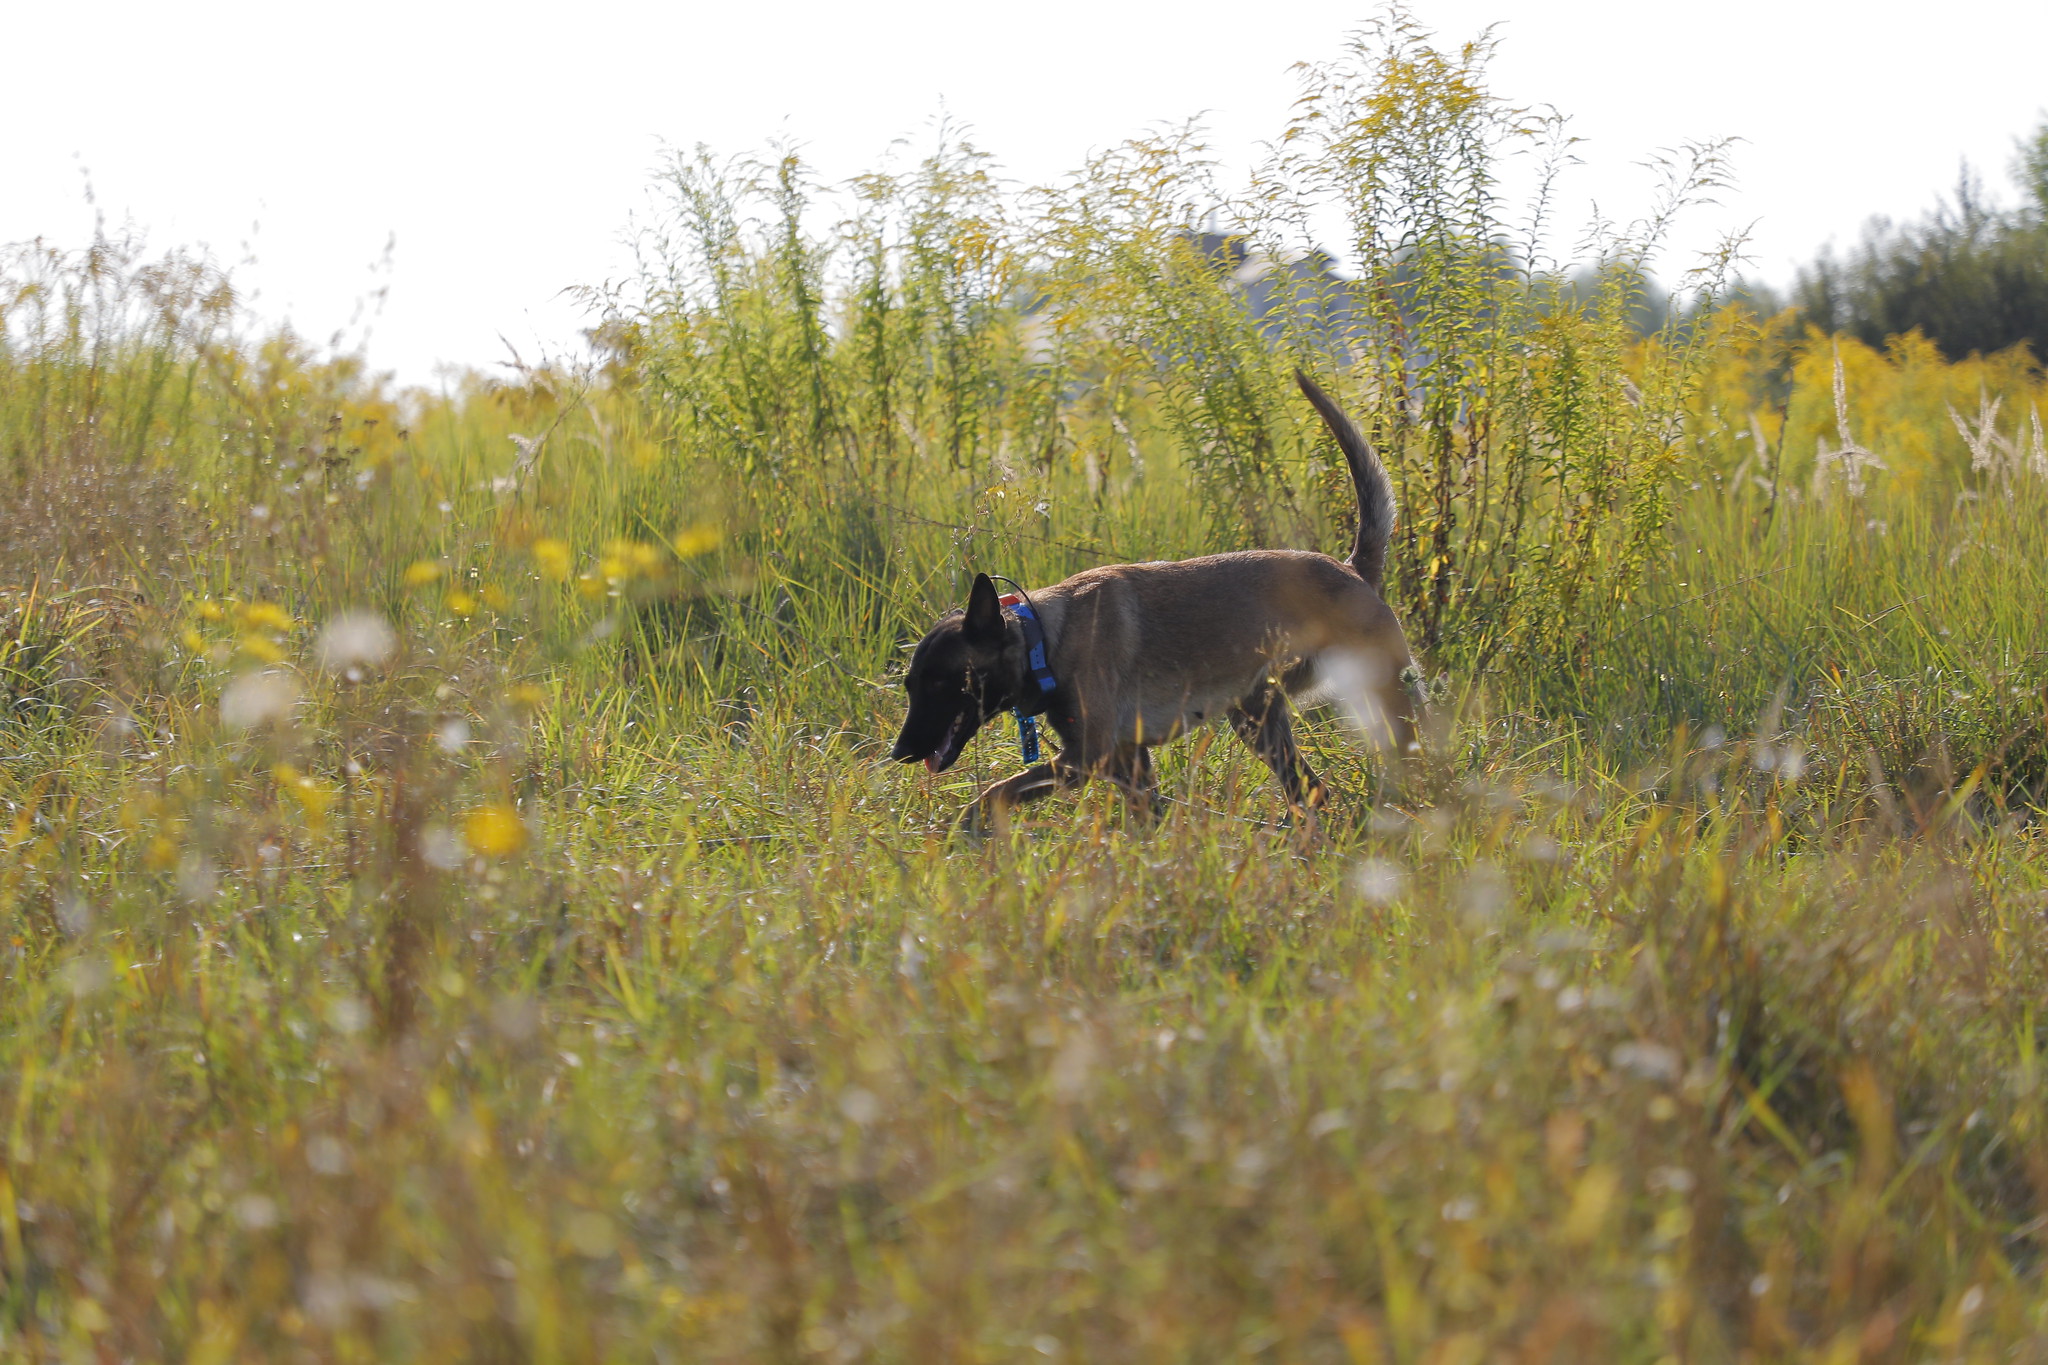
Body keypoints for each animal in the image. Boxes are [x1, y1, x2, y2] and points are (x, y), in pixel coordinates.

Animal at [888, 368, 1417, 826]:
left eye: (939, 683)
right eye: (912, 685)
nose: (899, 754)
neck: (1044, 640)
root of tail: (1352, 570)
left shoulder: (1088, 757)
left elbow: (994, 792)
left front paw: (961, 828)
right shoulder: (1129, 763)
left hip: (1381, 705)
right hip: (1255, 717)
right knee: (1311, 791)